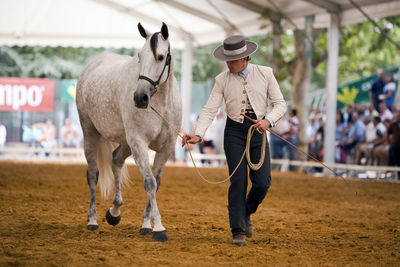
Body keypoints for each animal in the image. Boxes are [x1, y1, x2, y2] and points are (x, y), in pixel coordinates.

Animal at [76, 23, 182, 243]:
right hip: (91, 132)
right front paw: (159, 228)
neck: (160, 103)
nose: (140, 97)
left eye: (161, 57)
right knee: (93, 174)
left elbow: (156, 182)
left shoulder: (166, 147)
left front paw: (146, 224)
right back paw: (93, 220)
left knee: (116, 160)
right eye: (139, 56)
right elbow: (149, 183)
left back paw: (114, 212)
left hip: (125, 142)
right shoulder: (139, 142)